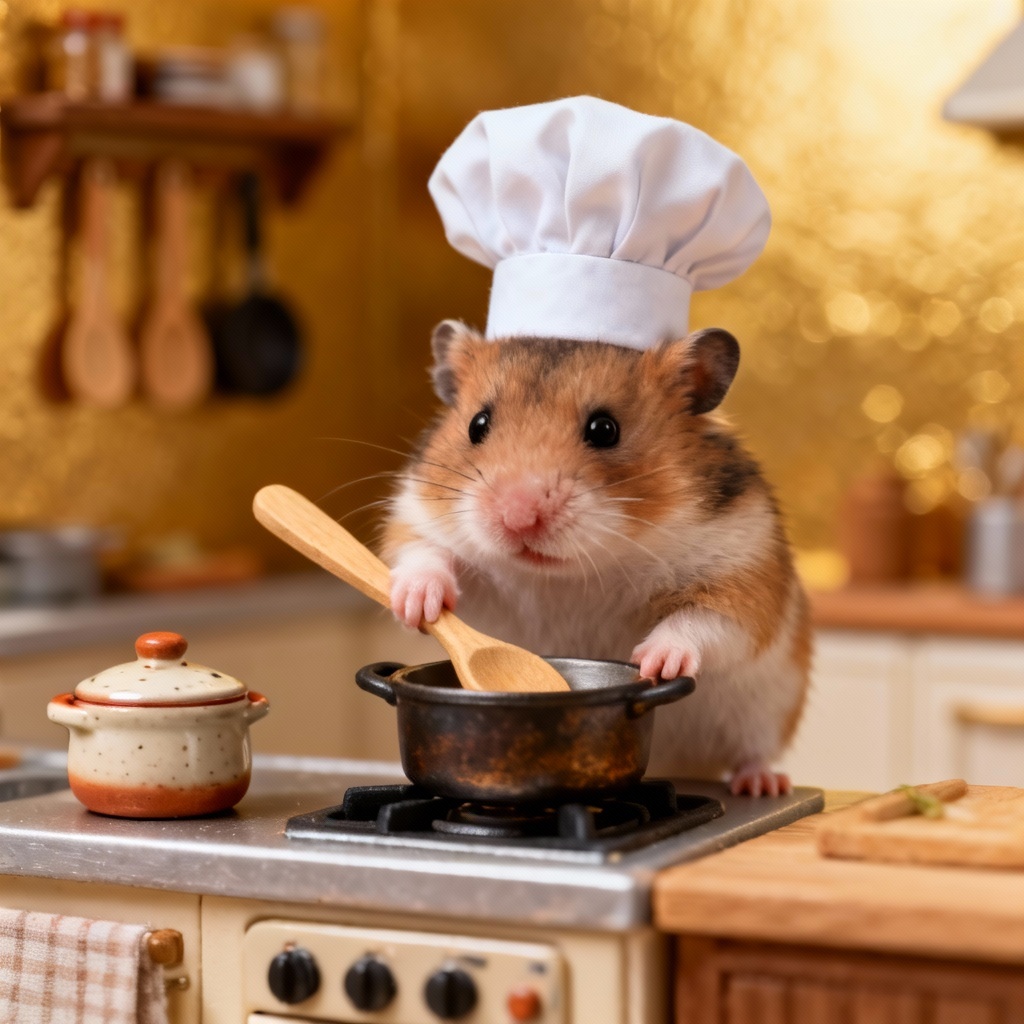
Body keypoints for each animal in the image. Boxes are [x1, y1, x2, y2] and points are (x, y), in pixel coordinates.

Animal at [380, 320, 811, 797]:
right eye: (477, 424)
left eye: (605, 429)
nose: (518, 517)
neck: (570, 573)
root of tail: (682, 768)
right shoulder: (416, 517)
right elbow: (421, 554)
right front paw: (417, 604)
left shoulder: (744, 574)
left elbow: (702, 621)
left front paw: (651, 662)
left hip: (767, 711)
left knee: (751, 752)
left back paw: (763, 785)